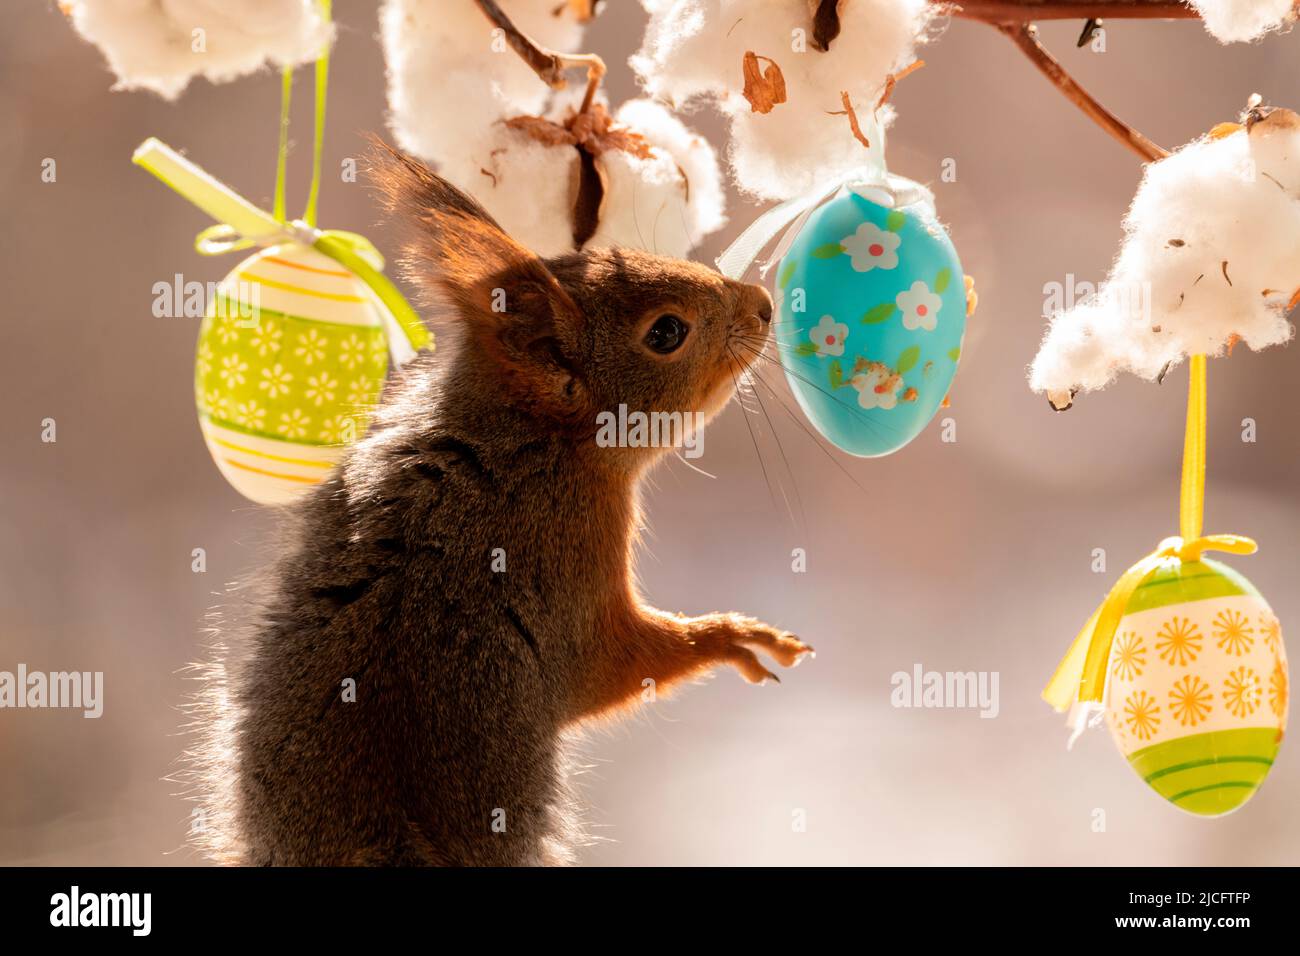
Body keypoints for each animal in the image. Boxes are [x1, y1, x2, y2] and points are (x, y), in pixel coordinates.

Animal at [187, 143, 806, 868]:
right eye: (666, 333)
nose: (762, 304)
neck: (517, 437)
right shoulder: (570, 553)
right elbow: (614, 666)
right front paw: (731, 636)